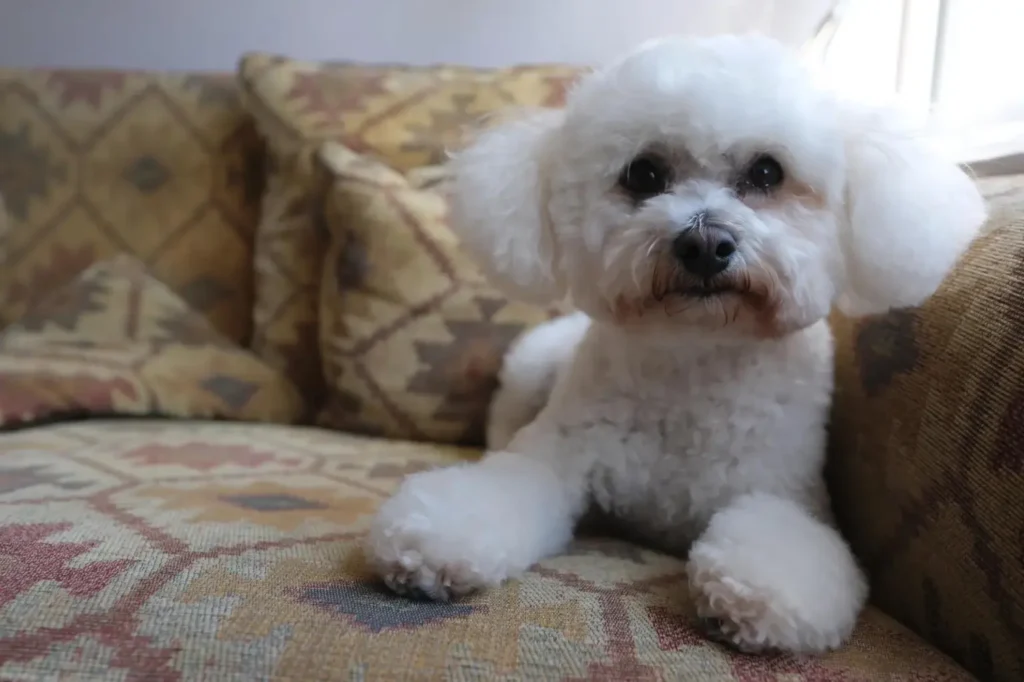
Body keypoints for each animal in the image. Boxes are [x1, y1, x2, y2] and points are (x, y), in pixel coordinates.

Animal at [364, 34, 987, 651]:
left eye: (767, 172)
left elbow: (779, 545)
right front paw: (433, 542)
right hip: (528, 373)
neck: (694, 357)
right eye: (643, 174)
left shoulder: (783, 489)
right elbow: (501, 487)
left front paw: (760, 596)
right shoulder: (557, 459)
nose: (706, 243)